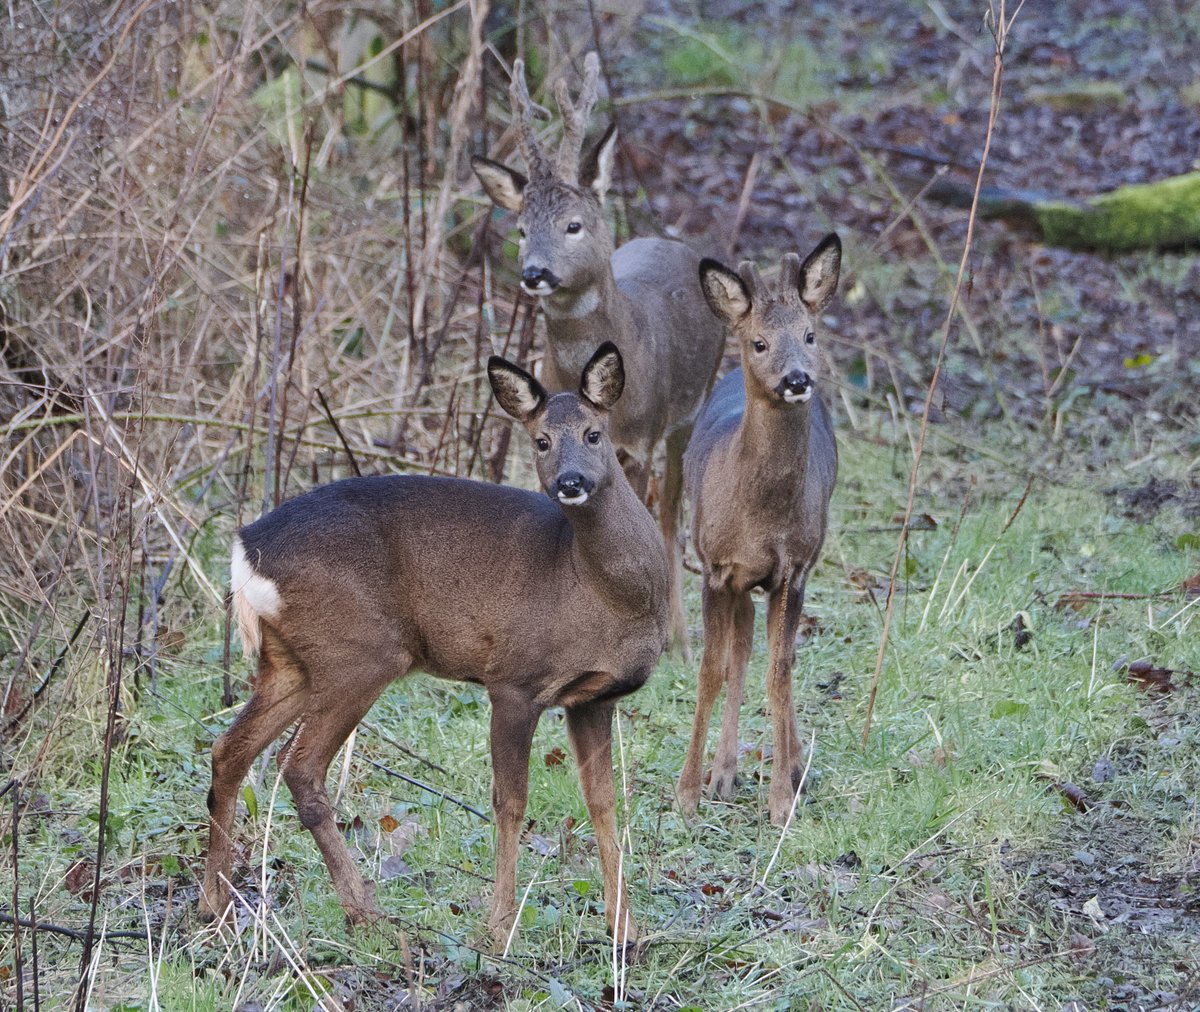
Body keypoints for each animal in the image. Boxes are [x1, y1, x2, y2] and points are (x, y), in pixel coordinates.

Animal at [199, 342, 668, 950]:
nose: (570, 482)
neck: (597, 590)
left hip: (291, 663)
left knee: (228, 750)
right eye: (540, 440)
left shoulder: (594, 697)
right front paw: (498, 928)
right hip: (362, 653)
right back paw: (365, 914)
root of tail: (245, 550)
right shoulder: (514, 681)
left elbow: (604, 802)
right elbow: (510, 802)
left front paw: (625, 929)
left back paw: (214, 907)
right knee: (298, 767)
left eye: (594, 433)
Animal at [471, 52, 726, 661]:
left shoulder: (640, 436)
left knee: (669, 514)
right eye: (521, 228)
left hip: (689, 410)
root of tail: (671, 241)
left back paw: (681, 640)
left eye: (573, 224)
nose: (535, 272)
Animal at [676, 234, 841, 827]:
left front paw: (780, 801)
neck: (760, 516)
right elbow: (710, 670)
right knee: (740, 652)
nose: (797, 379)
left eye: (811, 335)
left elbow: (781, 673)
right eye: (760, 342)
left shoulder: (793, 569)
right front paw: (687, 793)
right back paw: (722, 774)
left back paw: (789, 767)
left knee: (774, 656)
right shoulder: (715, 567)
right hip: (738, 580)